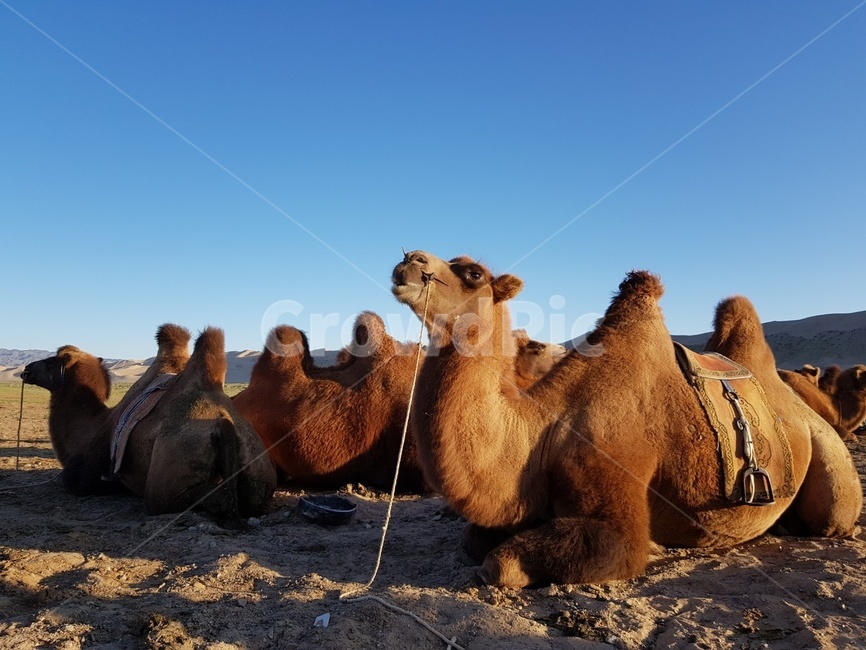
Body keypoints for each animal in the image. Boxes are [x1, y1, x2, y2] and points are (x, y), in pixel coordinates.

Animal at [21, 325, 276, 519]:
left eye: (50, 362)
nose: (26, 369)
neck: (90, 426)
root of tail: (225, 428)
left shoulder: (90, 473)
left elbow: (69, 481)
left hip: (166, 479)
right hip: (258, 474)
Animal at [391, 250, 861, 587]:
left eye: (473, 273)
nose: (410, 259)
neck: (543, 432)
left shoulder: (614, 489)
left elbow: (500, 566)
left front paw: (654, 549)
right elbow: (473, 541)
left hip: (830, 464)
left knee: (830, 518)